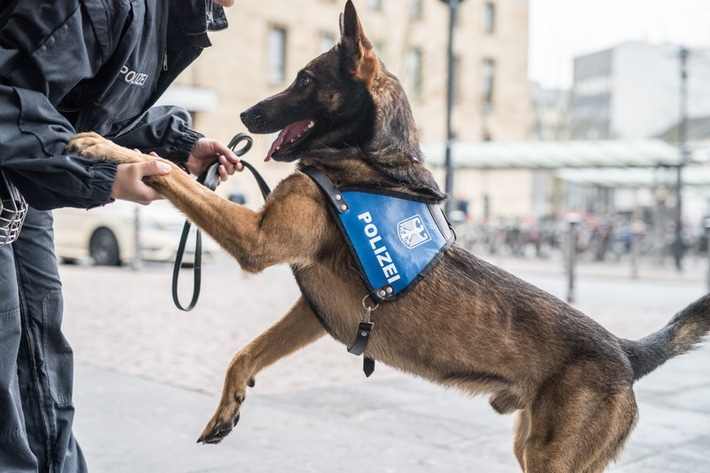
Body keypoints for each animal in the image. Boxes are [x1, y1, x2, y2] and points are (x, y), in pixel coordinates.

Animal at [67, 1, 710, 470]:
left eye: (304, 78)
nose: (246, 116)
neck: (368, 160)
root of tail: (627, 352)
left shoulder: (257, 241)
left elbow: (169, 172)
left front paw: (107, 146)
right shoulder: (317, 311)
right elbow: (243, 353)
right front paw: (228, 406)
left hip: (553, 459)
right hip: (529, 447)